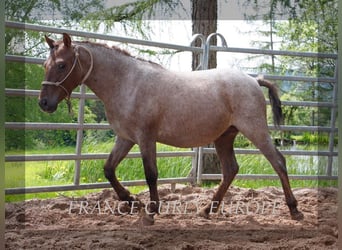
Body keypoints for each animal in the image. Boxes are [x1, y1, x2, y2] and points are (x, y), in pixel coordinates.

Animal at [38, 33, 304, 225]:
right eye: (45, 64)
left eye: (61, 65)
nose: (44, 103)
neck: (127, 82)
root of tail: (253, 80)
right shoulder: (125, 138)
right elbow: (108, 169)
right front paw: (132, 201)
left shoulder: (145, 138)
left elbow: (151, 174)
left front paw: (151, 212)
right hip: (224, 137)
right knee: (230, 170)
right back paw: (207, 210)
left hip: (255, 130)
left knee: (278, 162)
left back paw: (294, 210)